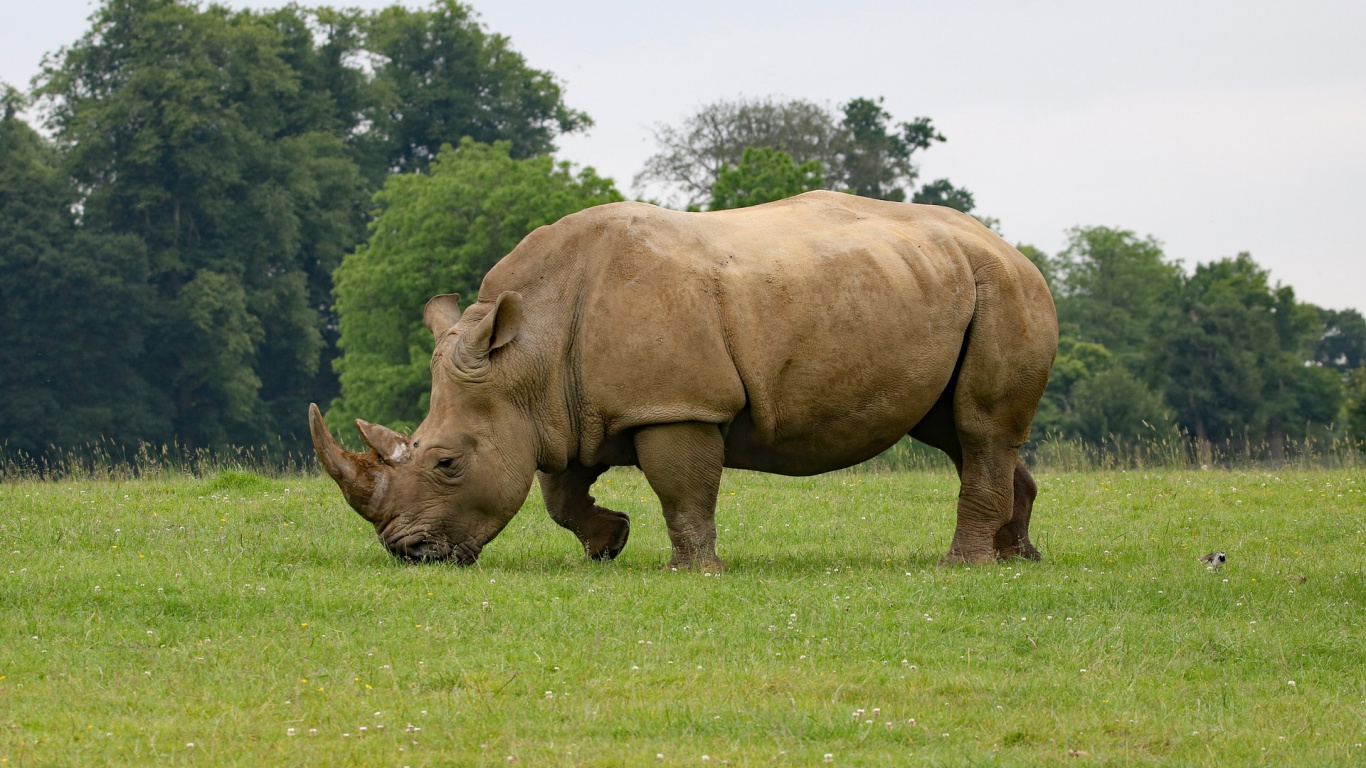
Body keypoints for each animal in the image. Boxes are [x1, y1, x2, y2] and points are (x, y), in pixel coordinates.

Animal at [310, 190, 1057, 569]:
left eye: (445, 462)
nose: (408, 554)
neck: (525, 357)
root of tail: (1011, 246)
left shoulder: (676, 404)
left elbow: (683, 489)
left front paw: (692, 571)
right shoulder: (565, 410)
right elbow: (559, 492)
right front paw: (608, 544)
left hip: (1005, 290)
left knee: (979, 427)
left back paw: (963, 567)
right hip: (941, 284)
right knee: (960, 432)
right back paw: (1018, 558)